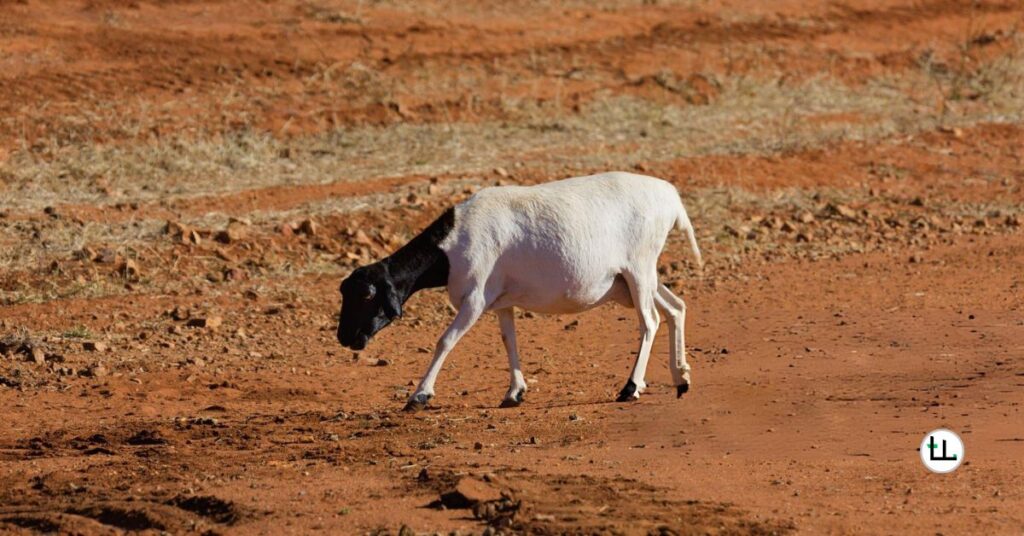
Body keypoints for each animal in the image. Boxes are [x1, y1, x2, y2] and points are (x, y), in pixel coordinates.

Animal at [337, 171, 701, 411]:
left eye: (366, 295)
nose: (345, 337)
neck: (449, 246)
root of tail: (670, 197)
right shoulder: (501, 302)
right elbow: (508, 340)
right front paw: (514, 393)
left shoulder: (475, 299)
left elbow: (446, 340)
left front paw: (419, 396)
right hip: (631, 280)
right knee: (675, 307)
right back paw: (680, 379)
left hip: (639, 268)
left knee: (650, 322)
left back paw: (631, 388)